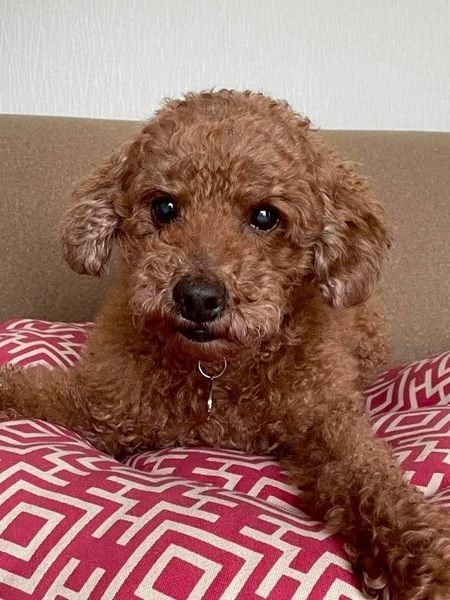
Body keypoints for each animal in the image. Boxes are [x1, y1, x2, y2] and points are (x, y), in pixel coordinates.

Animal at [1, 90, 449, 599]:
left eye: (265, 216)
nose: (198, 296)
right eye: (163, 207)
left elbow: (367, 473)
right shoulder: (104, 405)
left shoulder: (328, 419)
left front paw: (423, 557)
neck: (218, 371)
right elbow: (32, 393)